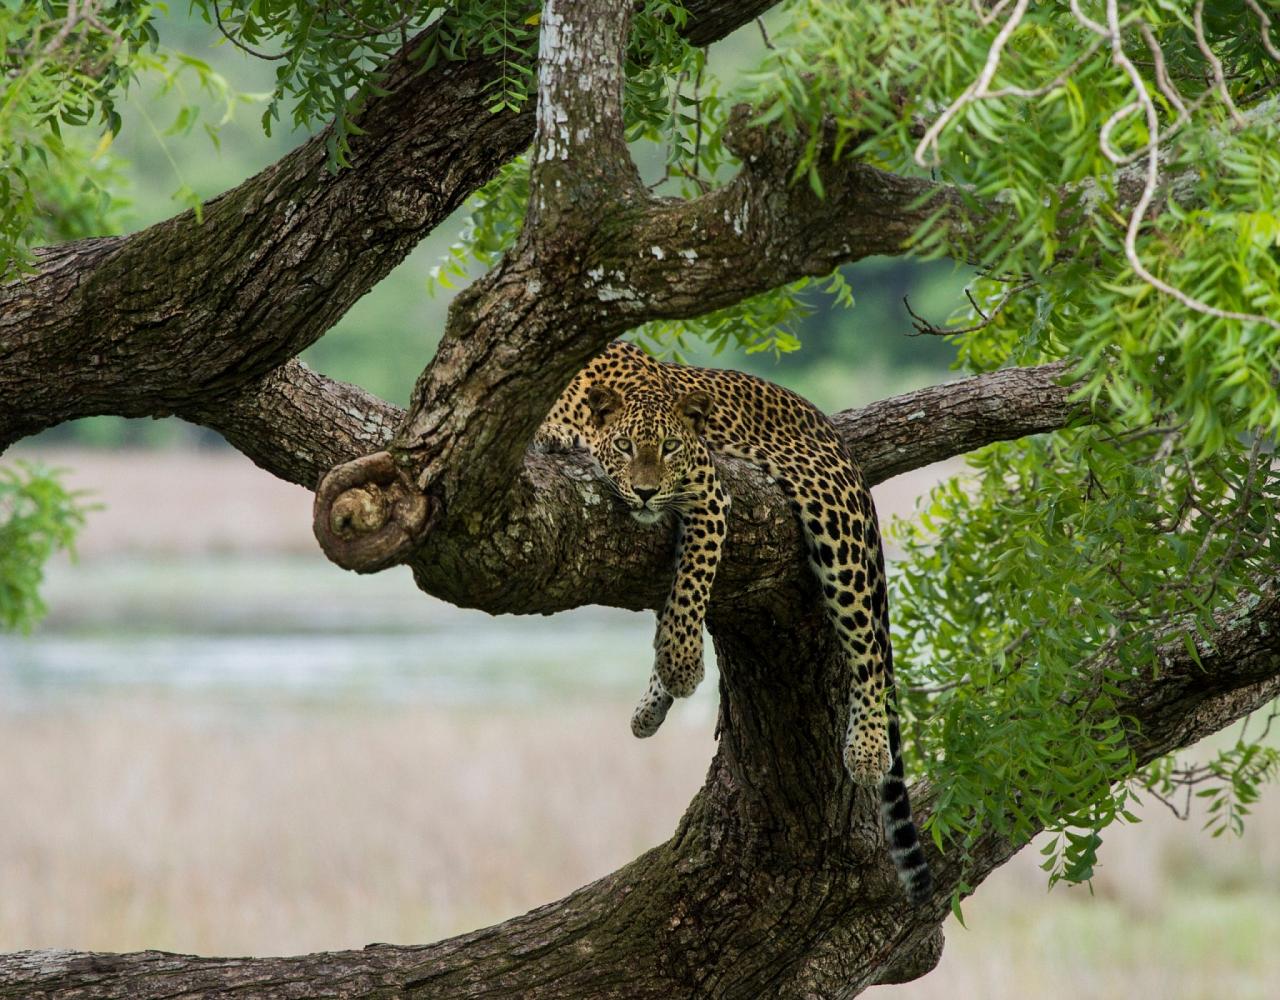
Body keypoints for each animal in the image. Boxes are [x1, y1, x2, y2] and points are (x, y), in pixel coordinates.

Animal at [537, 338, 931, 906]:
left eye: (670, 448)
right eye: (627, 447)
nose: (645, 493)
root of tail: (827, 423)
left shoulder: (708, 492)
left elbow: (692, 582)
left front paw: (682, 664)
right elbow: (674, 602)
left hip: (835, 525)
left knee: (868, 647)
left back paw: (867, 748)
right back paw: (649, 708)